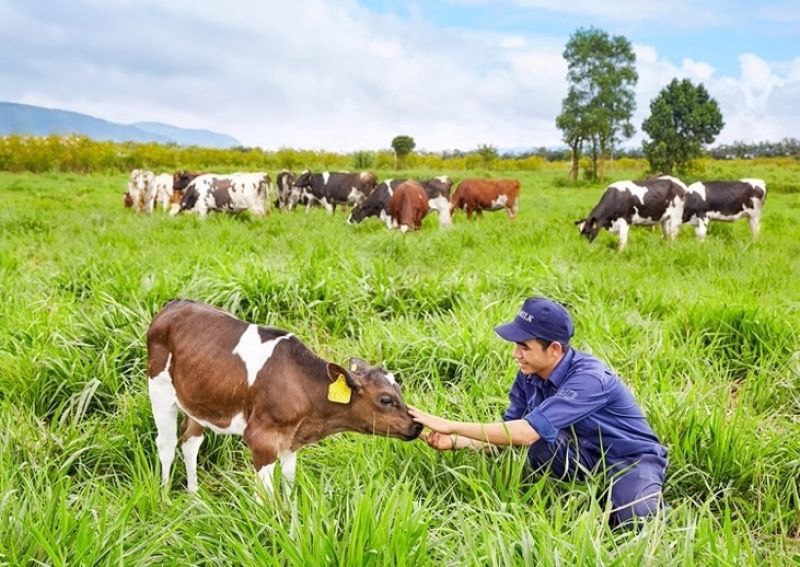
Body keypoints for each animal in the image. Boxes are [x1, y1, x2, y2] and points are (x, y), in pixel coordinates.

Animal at [147, 300, 422, 494]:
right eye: (385, 400)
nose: (417, 425)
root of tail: (174, 304)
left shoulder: (291, 440)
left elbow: (289, 483)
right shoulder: (262, 440)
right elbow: (265, 497)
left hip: (199, 398)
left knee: (190, 442)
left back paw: (194, 497)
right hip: (159, 389)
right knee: (167, 444)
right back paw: (165, 497)